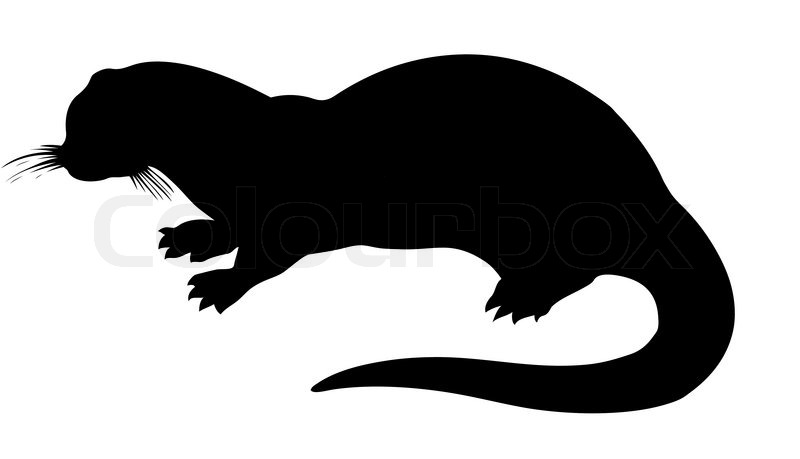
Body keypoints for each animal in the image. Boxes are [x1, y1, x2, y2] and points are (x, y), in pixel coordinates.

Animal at [4, 55, 734, 413]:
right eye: (73, 117)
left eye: (99, 127)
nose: (70, 157)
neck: (231, 147)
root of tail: (658, 195)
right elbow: (227, 229)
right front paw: (189, 236)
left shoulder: (291, 209)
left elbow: (268, 254)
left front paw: (220, 285)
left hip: (554, 217)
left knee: (576, 269)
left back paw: (518, 297)